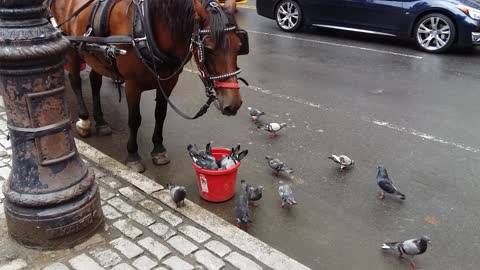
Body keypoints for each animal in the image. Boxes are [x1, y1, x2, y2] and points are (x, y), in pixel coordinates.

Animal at [49, 0, 244, 172]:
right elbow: (134, 120)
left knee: (95, 82)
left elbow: (161, 114)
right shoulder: (132, 85)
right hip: (72, 49)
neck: (146, 29)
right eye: (208, 48)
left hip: (96, 56)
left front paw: (158, 149)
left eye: (239, 46)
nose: (233, 104)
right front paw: (133, 155)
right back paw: (84, 120)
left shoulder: (168, 82)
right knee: (75, 81)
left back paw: (101, 122)